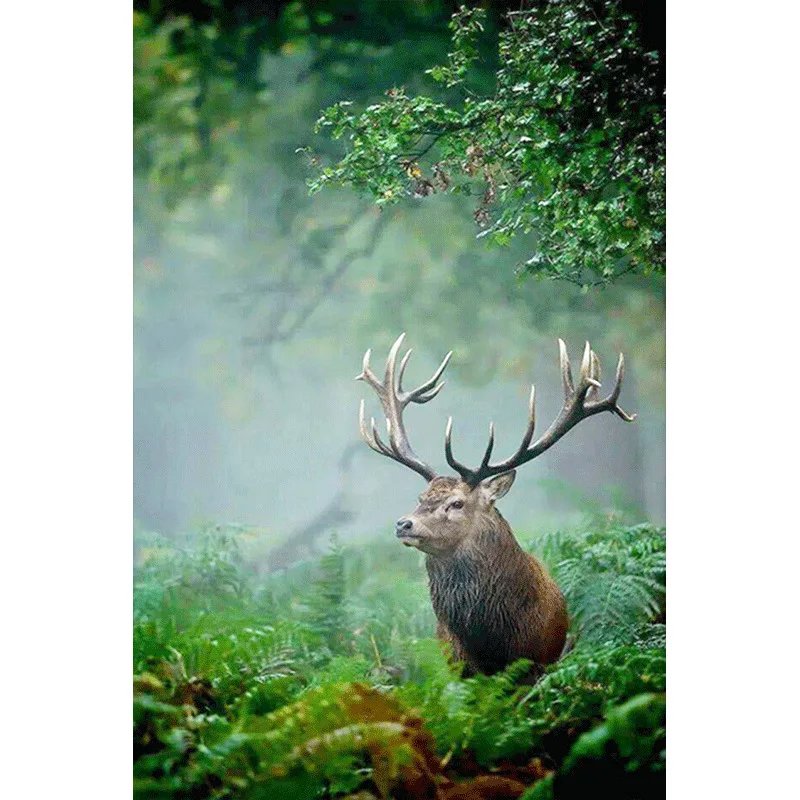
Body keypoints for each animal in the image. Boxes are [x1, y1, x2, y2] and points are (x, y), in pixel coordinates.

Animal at [356, 333, 635, 679]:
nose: (403, 523)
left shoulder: (537, 662)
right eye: (421, 498)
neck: (492, 642)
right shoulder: (459, 666)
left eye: (456, 503)